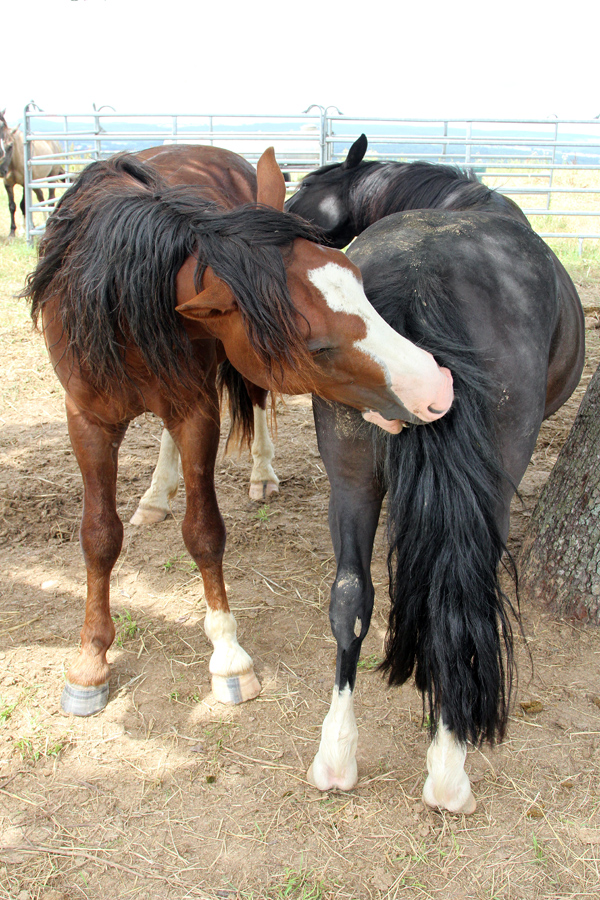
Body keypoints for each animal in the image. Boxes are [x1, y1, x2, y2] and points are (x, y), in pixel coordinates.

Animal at [0, 109, 64, 237]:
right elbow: (12, 206)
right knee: (41, 197)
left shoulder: (25, 184)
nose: (1, 171)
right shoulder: (7, 184)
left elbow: (23, 205)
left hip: (52, 177)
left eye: (10, 146)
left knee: (50, 198)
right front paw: (12, 231)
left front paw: (23, 230)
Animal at [24, 151, 454, 720]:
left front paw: (228, 657)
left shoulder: (196, 413)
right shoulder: (87, 423)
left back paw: (260, 474)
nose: (437, 387)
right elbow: (98, 537)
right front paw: (90, 660)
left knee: (253, 403)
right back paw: (156, 496)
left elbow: (204, 533)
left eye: (359, 282)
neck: (119, 298)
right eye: (314, 345)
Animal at [302, 209, 584, 816]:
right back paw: (450, 770)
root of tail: (421, 274)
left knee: (350, 598)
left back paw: (336, 757)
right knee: (459, 600)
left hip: (351, 476)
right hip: (491, 489)